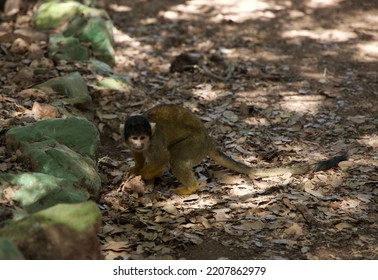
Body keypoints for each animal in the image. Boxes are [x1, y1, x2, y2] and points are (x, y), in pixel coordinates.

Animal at [125, 104, 348, 195]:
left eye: (143, 137)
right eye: (134, 138)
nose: (139, 144)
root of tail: (209, 140)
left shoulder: (155, 141)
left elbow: (162, 157)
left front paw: (145, 175)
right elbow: (138, 156)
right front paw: (136, 170)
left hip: (195, 144)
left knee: (176, 157)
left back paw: (190, 188)